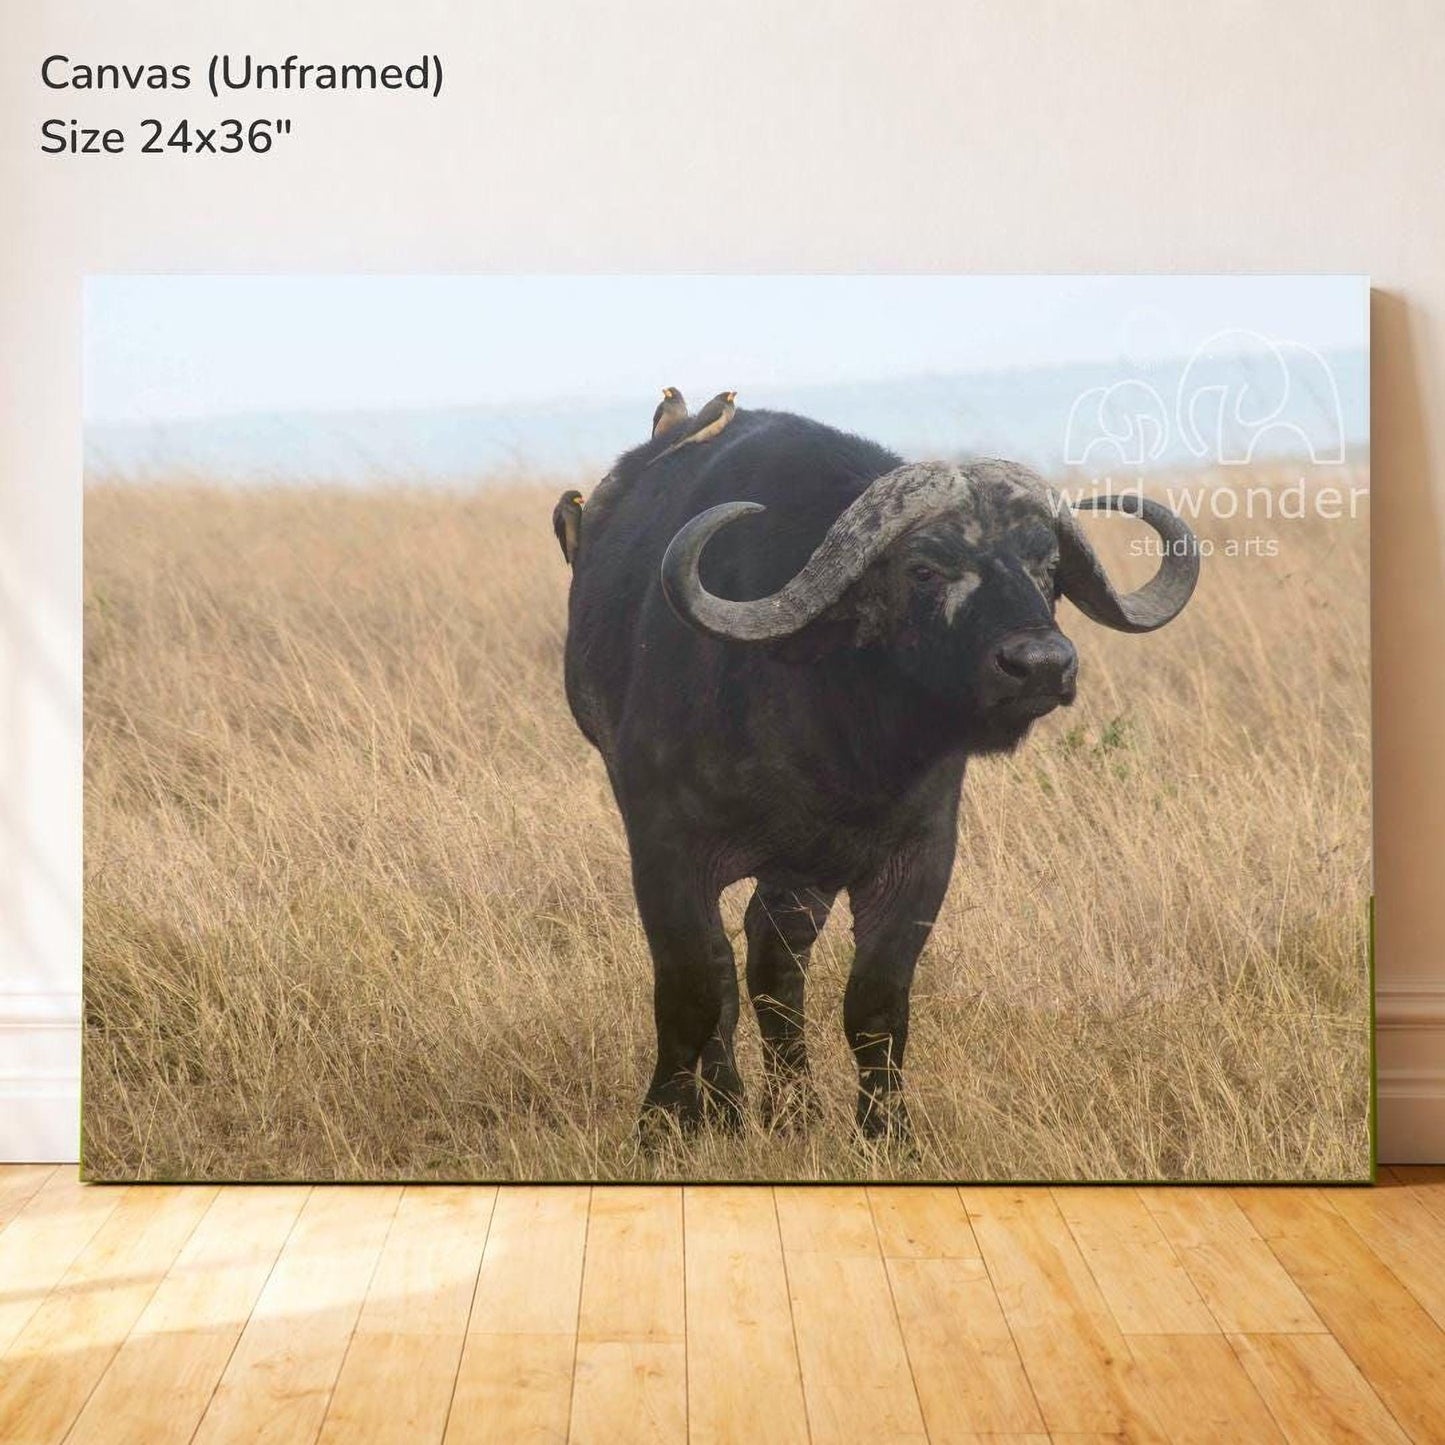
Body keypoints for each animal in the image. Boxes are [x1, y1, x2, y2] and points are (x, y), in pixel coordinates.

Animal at [562, 408, 1199, 1138]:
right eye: (923, 569)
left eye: (1047, 570)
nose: (1040, 664)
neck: (834, 736)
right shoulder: (665, 850)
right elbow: (692, 986)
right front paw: (665, 1125)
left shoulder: (916, 858)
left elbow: (875, 1001)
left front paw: (887, 1133)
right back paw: (730, 1106)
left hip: (801, 876)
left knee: (774, 960)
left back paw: (794, 1108)